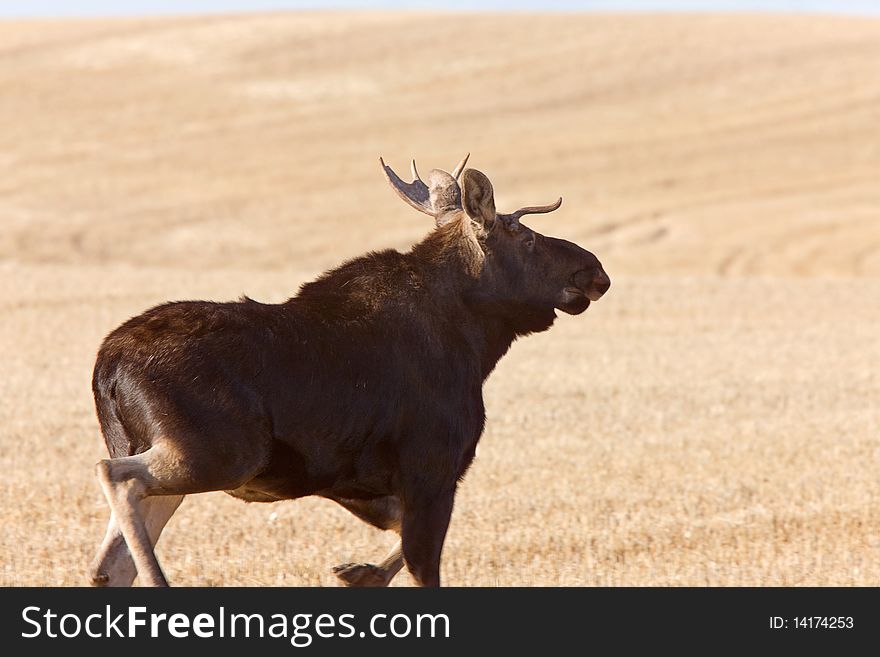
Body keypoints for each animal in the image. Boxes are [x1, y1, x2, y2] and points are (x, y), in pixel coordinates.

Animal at [91, 156, 612, 588]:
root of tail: (106, 368)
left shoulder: (363, 484)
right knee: (116, 478)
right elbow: (422, 564)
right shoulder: (432, 467)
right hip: (220, 453)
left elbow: (398, 542)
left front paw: (359, 572)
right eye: (527, 239)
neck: (477, 348)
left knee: (110, 564)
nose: (596, 272)